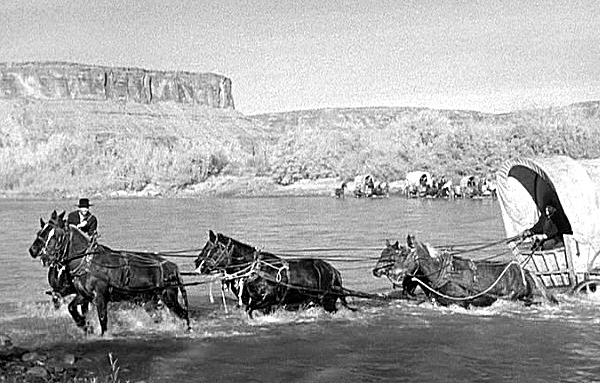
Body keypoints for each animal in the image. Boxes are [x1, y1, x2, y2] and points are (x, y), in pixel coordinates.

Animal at [29, 213, 190, 336]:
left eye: (56, 235)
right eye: (40, 232)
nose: (33, 250)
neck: (88, 262)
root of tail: (172, 266)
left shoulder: (100, 296)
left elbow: (103, 319)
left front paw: (102, 334)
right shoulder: (84, 295)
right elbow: (72, 308)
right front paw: (86, 326)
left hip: (168, 296)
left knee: (183, 313)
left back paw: (188, 329)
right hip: (149, 300)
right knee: (159, 317)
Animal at [195, 231, 356, 318]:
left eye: (213, 248)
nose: (197, 263)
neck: (257, 270)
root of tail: (334, 271)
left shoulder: (268, 301)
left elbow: (251, 311)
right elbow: (248, 310)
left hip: (328, 301)